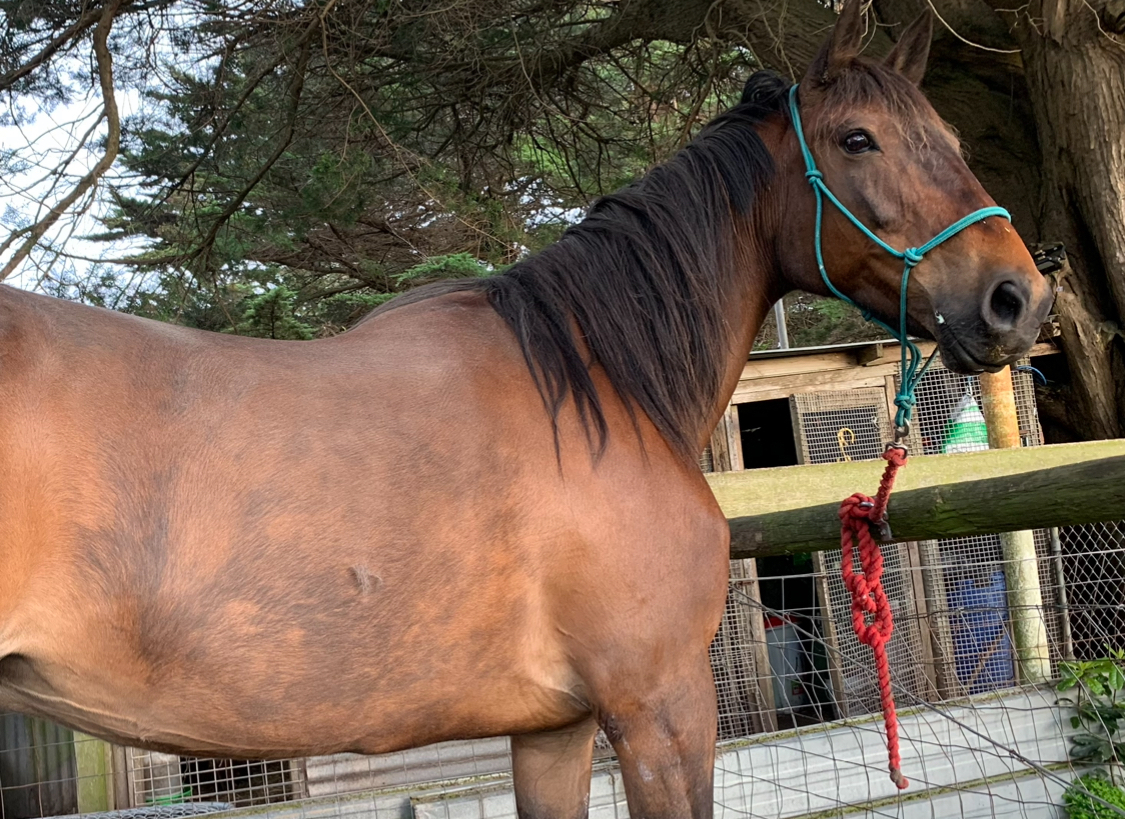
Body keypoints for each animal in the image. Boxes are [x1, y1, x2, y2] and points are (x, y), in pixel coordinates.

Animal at [0, 3, 1052, 817]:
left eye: (951, 142)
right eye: (856, 139)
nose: (1017, 299)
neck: (598, 378)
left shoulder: (554, 727)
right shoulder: (660, 709)